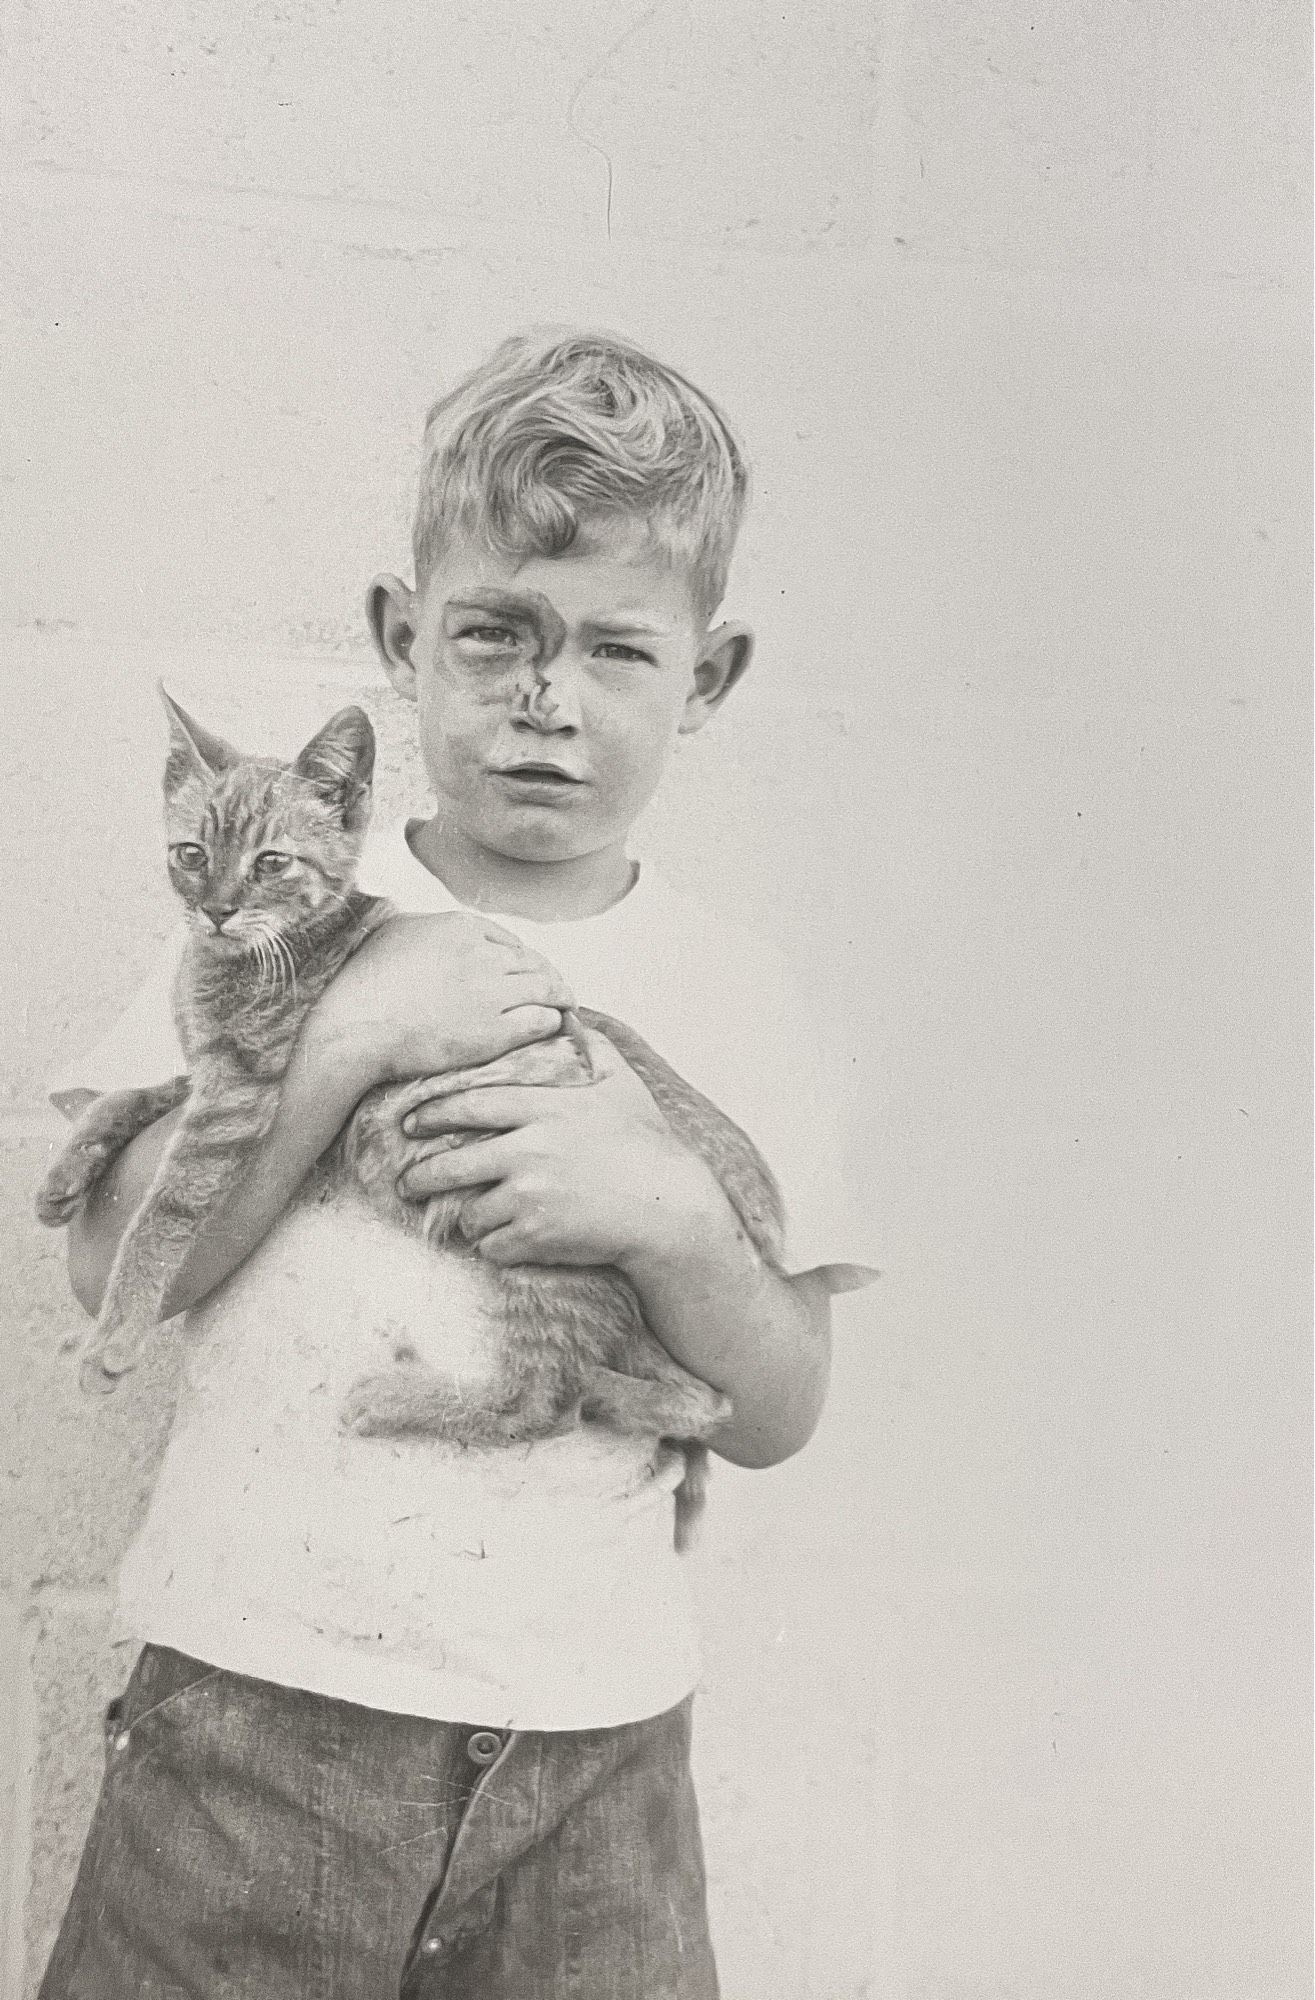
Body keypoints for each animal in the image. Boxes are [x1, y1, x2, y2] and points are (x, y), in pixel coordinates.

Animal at [38, 696, 779, 1536]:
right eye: (191, 853)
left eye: (271, 863)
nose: (217, 910)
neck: (230, 966)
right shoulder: (205, 1077)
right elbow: (132, 1095)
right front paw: (68, 1169)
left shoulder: (238, 1096)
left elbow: (161, 1216)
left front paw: (113, 1335)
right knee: (705, 1399)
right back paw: (619, 1396)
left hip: (549, 1243)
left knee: (546, 1404)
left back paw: (410, 1400)